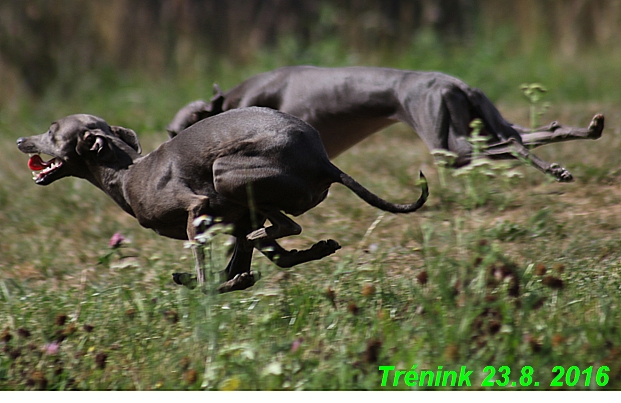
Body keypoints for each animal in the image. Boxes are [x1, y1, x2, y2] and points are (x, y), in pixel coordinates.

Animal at [17, 107, 428, 294]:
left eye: (52, 132)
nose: (21, 140)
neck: (129, 172)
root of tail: (322, 160)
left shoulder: (196, 211)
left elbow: (206, 276)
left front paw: (210, 281)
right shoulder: (231, 218)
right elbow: (232, 269)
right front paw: (236, 277)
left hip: (225, 172)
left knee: (282, 227)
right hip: (246, 200)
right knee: (275, 241)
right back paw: (306, 251)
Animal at [167, 66, 604, 181]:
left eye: (174, 132)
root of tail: (457, 83)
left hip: (447, 143)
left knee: (511, 145)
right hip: (490, 121)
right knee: (542, 132)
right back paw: (585, 137)